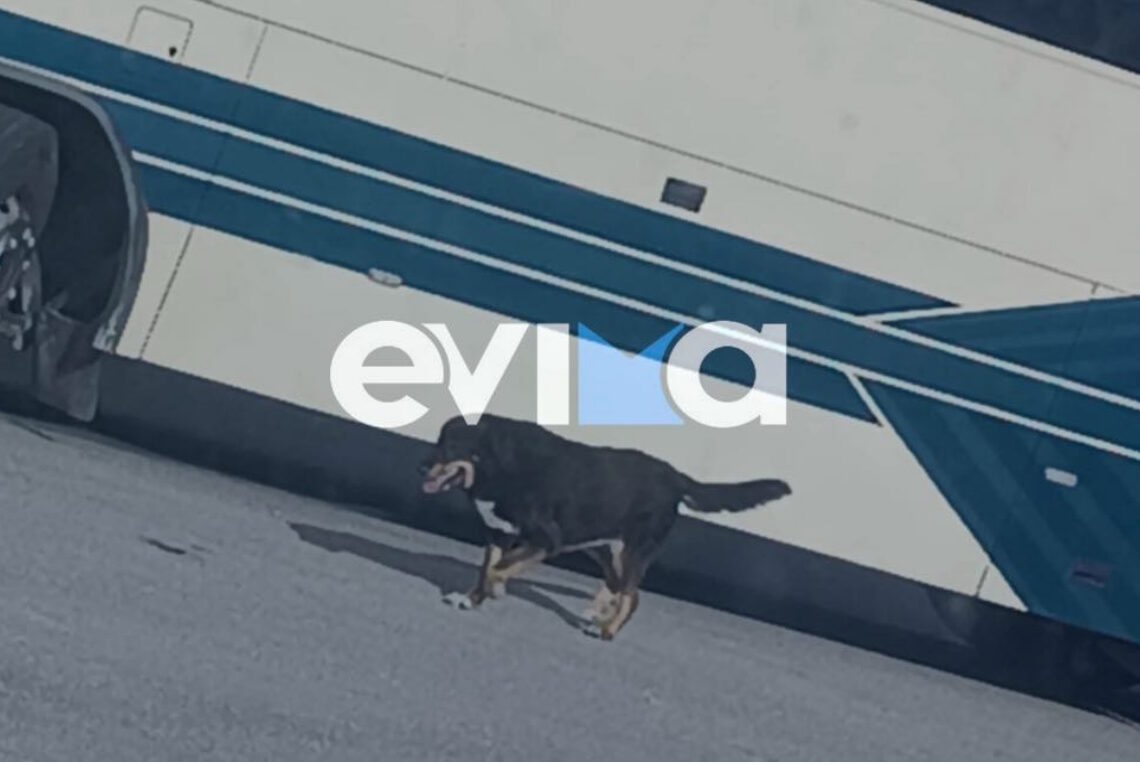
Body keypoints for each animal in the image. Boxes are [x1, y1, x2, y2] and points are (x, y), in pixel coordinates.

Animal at [419, 414, 791, 640]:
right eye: (438, 439)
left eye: (450, 446)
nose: (422, 465)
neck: (498, 463)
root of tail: (675, 477)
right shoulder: (498, 534)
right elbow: (488, 568)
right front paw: (473, 599)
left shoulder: (547, 538)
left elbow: (497, 570)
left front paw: (496, 590)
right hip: (603, 548)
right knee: (618, 587)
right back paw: (599, 615)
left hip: (630, 551)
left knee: (632, 596)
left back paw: (607, 630)